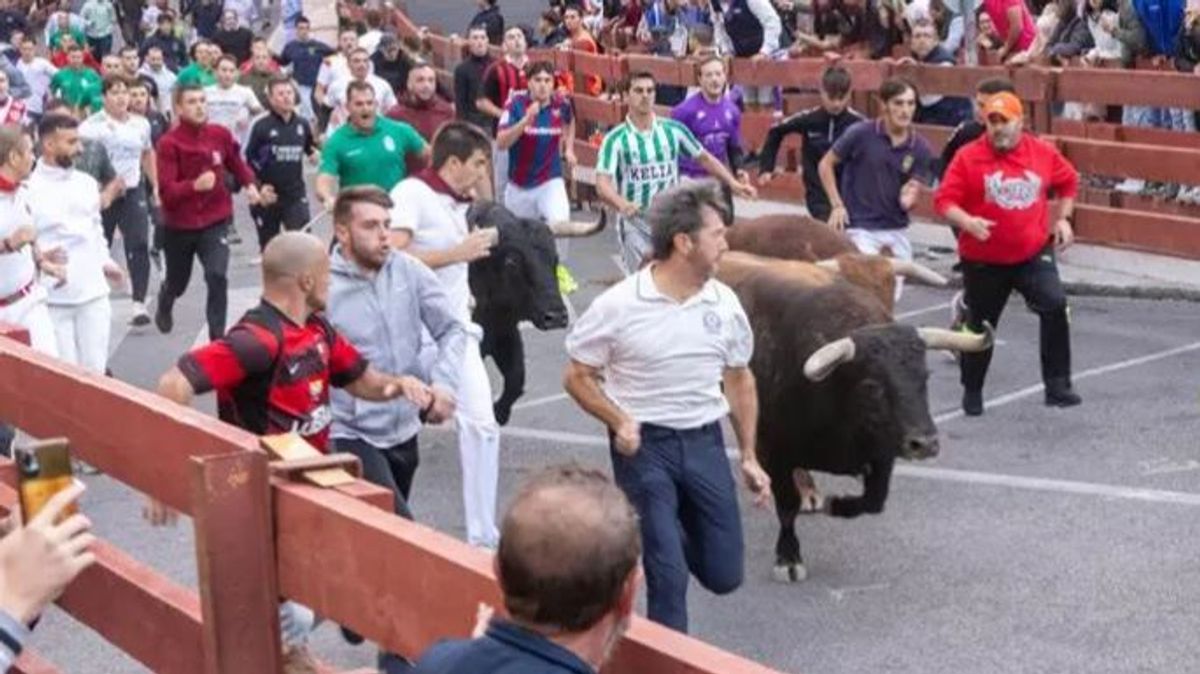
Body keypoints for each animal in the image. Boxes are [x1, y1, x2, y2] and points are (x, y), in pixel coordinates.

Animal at [468, 199, 600, 422]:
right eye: (511, 261)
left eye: (555, 259)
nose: (555, 317)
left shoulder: (506, 333)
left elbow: (516, 379)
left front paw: (499, 413)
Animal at [715, 251, 988, 582]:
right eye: (871, 387)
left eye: (925, 377)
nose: (925, 444)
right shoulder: (775, 449)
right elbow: (787, 506)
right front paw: (789, 558)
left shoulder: (883, 450)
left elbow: (874, 501)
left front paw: (837, 505)